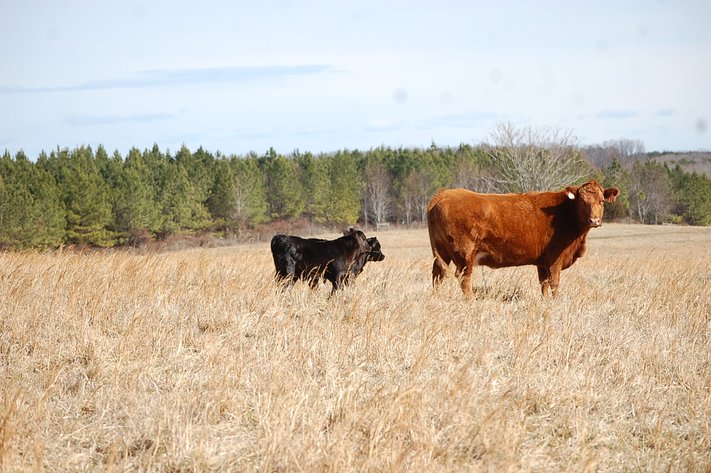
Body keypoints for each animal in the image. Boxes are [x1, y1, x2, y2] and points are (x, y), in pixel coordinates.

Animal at [426, 179, 619, 297]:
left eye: (601, 201)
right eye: (583, 201)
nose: (595, 220)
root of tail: (443, 194)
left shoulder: (542, 262)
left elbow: (544, 284)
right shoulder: (555, 259)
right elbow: (554, 283)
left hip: (442, 252)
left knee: (437, 274)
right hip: (465, 254)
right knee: (464, 280)